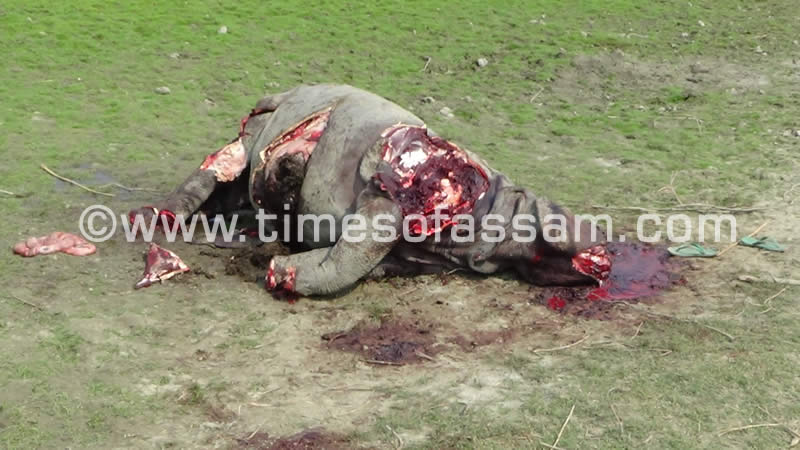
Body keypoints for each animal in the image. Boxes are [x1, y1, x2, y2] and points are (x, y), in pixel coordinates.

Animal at [129, 84, 608, 296]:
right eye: (561, 217)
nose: (605, 237)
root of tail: (279, 94)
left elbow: (362, 262)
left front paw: (283, 267)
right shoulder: (388, 197)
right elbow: (355, 249)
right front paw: (279, 271)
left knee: (235, 187)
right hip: (253, 137)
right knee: (214, 170)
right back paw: (150, 218)